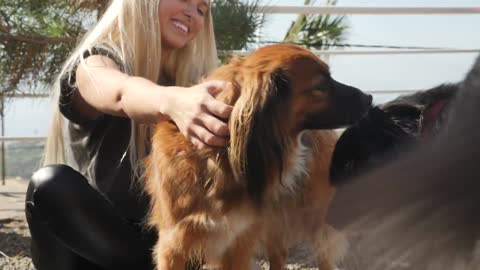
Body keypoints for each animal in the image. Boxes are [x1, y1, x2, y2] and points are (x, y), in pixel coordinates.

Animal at [142, 44, 372, 270]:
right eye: (321, 87)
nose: (369, 98)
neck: (219, 160)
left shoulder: (239, 240)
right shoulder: (173, 245)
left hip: (314, 216)